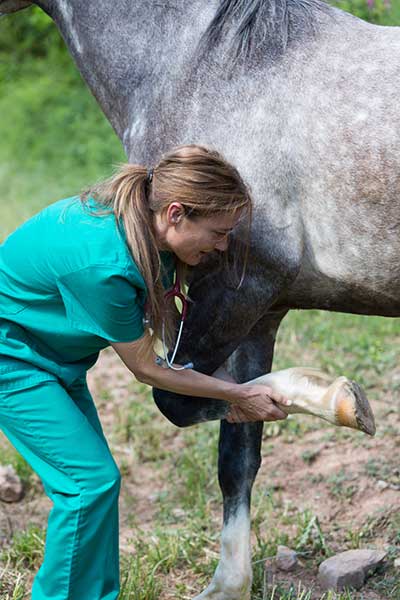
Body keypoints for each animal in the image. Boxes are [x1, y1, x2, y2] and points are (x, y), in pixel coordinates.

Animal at [1, 1, 398, 596]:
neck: (212, 66)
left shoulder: (238, 288)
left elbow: (179, 400)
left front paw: (341, 400)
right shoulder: (261, 312)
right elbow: (238, 448)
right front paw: (229, 582)